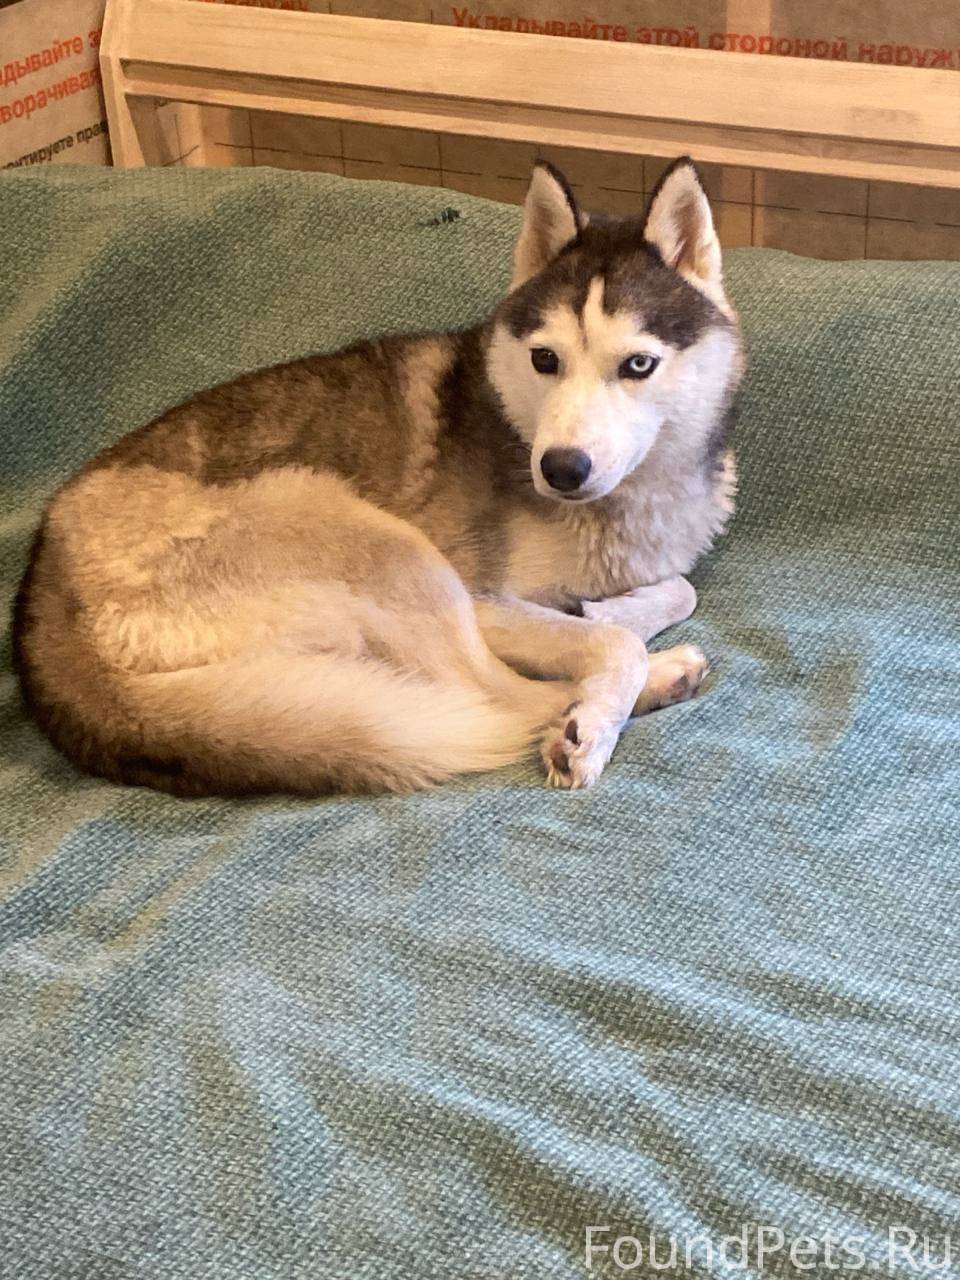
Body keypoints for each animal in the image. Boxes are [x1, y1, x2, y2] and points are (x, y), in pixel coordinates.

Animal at [13, 156, 743, 795]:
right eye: (545, 359)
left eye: (638, 365)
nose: (561, 469)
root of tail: (44, 610)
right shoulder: (483, 598)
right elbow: (612, 643)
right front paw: (595, 706)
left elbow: (675, 592)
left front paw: (608, 608)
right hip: (375, 540)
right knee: (494, 695)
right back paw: (637, 690)